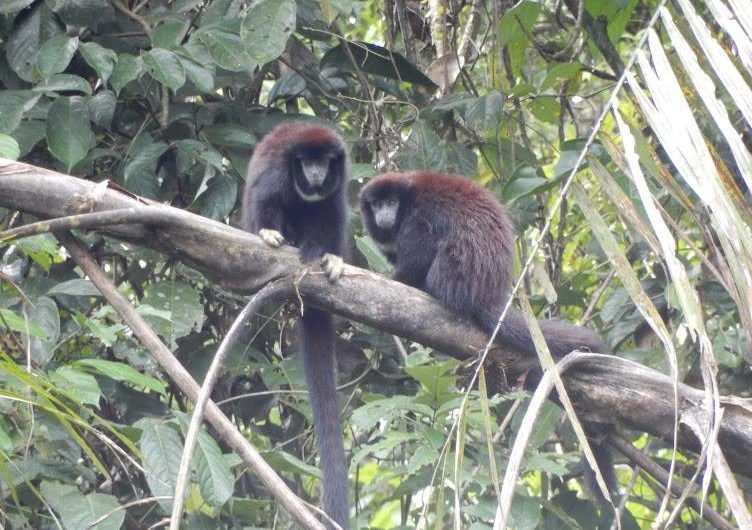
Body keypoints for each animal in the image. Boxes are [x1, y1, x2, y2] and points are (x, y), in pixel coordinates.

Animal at [242, 120, 352, 528]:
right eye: (307, 162)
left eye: (324, 162)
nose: (317, 173)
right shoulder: (277, 174)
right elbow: (266, 200)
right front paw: (269, 233)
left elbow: (331, 216)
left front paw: (326, 255)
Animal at [360, 170, 616, 500]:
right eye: (377, 205)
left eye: (391, 202)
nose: (384, 213)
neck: (407, 200)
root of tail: (487, 294)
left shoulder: (415, 217)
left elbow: (421, 244)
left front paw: (398, 279)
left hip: (454, 272)